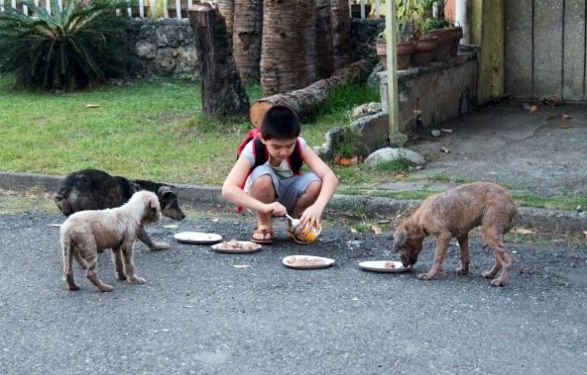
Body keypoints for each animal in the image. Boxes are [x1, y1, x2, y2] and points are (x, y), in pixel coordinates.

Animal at [54, 169, 185, 251]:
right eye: (175, 204)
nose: (184, 216)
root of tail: (66, 190)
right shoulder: (135, 222)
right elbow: (146, 237)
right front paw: (156, 246)